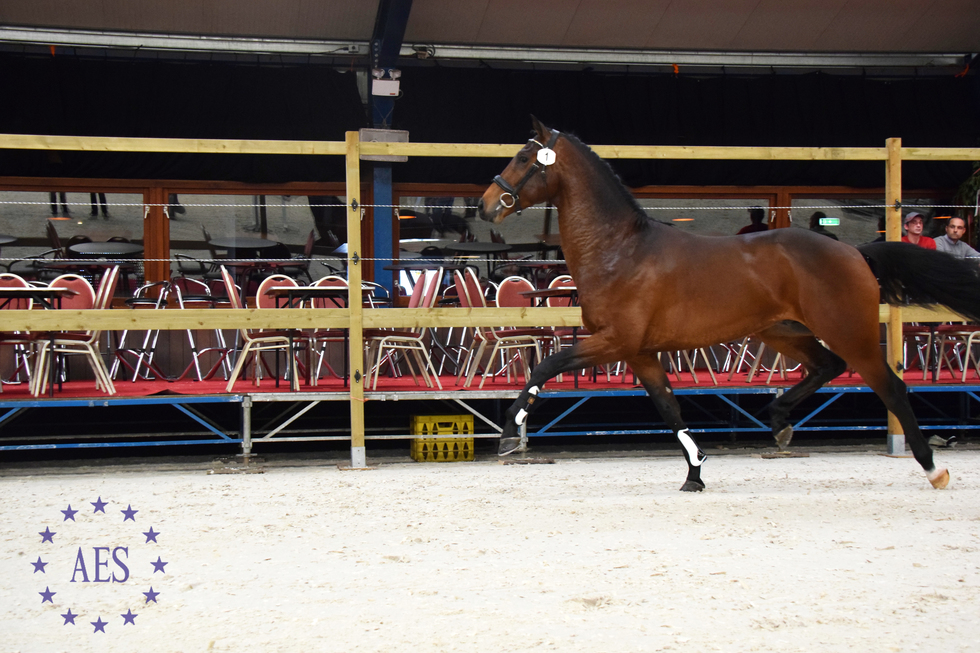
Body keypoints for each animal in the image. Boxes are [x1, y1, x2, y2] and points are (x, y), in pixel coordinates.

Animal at [477, 116, 980, 492]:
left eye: (524, 158)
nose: (486, 205)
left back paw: (933, 469)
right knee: (827, 366)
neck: (620, 250)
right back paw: (778, 419)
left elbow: (545, 366)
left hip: (847, 332)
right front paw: (695, 474)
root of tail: (856, 252)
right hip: (780, 331)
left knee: (891, 387)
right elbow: (669, 410)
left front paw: (509, 434)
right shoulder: (640, 353)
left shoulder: (614, 341)